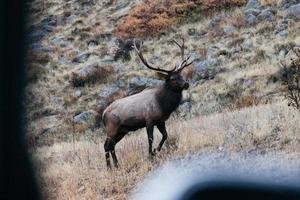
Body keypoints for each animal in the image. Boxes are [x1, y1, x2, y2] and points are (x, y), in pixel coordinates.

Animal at [102, 38, 193, 169]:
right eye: (172, 78)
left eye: (181, 75)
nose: (186, 84)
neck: (163, 104)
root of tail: (103, 114)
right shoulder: (149, 119)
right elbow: (150, 138)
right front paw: (150, 154)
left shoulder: (160, 121)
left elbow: (165, 135)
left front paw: (156, 150)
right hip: (112, 128)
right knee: (106, 145)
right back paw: (110, 167)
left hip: (122, 130)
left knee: (112, 145)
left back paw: (116, 165)